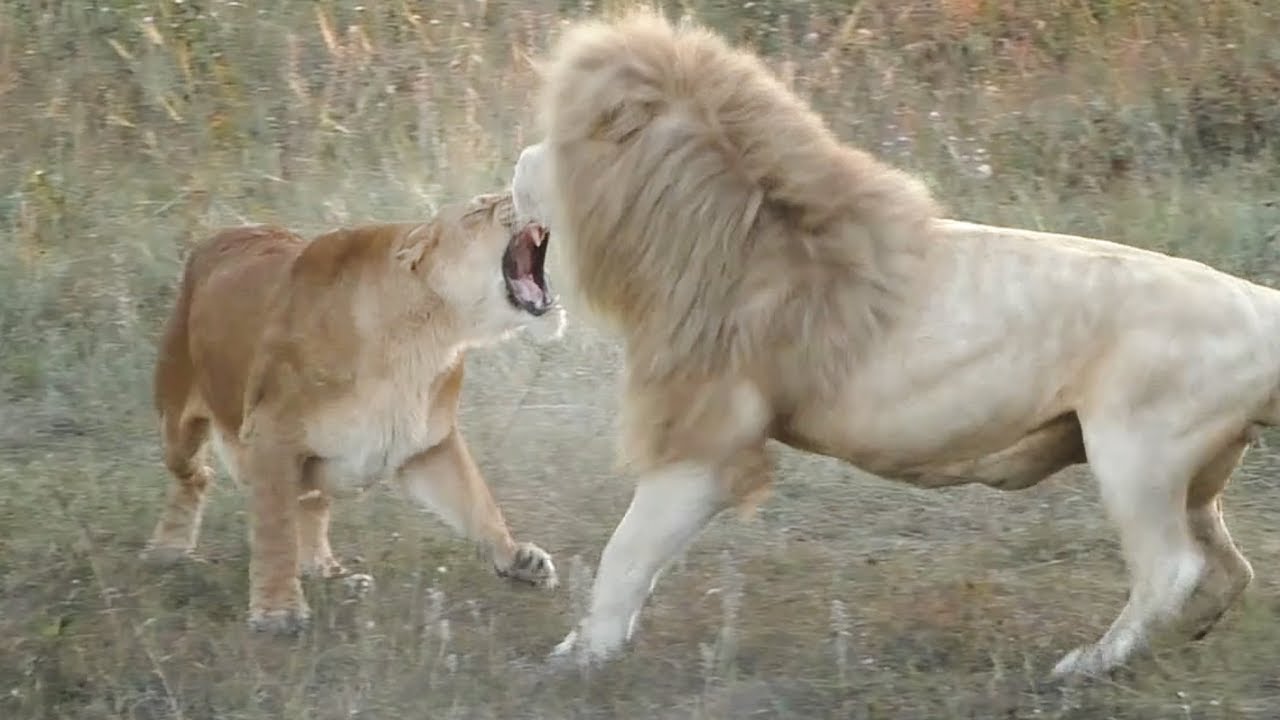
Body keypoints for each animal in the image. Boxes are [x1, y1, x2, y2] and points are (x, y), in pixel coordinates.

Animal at [142, 191, 566, 634]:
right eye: (479, 209)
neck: (429, 335)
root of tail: (220, 234)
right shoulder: (271, 435)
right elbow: (276, 531)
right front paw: (277, 613)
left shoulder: (428, 446)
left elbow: (477, 503)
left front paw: (518, 559)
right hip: (178, 421)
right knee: (195, 475)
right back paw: (168, 549)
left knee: (310, 506)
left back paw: (331, 575)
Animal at [512, 9, 1275, 680]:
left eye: (554, 144)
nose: (516, 161)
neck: (739, 233)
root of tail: (1260, 306)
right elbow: (629, 555)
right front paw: (583, 651)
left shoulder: (708, 443)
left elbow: (626, 553)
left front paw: (579, 660)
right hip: (1195, 472)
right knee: (1229, 570)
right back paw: (1177, 640)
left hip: (1135, 449)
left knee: (1171, 570)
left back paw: (1087, 666)